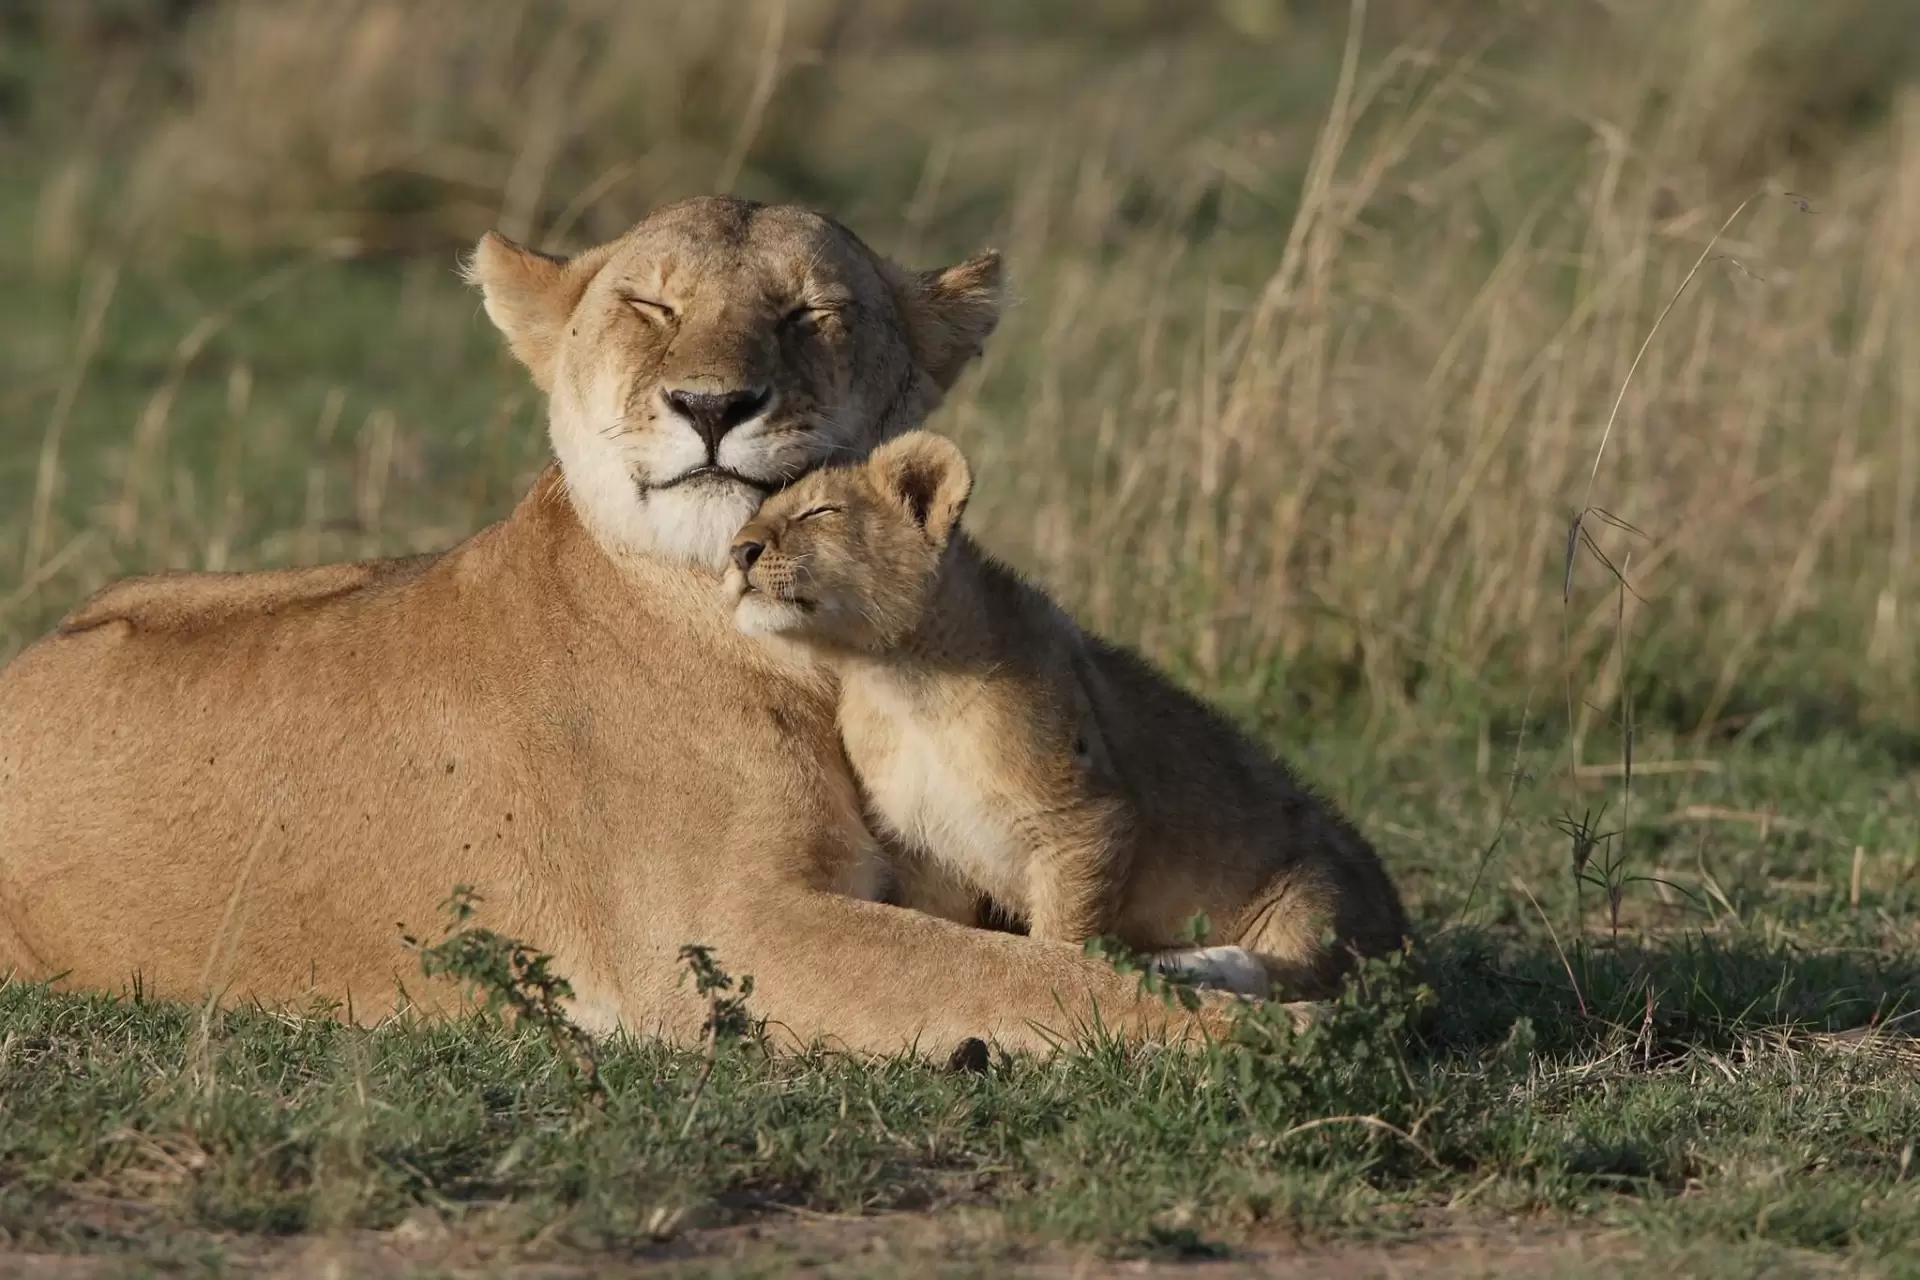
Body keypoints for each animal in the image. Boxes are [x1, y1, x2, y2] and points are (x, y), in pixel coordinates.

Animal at [0, 196, 1251, 1055]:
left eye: (810, 311)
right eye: (650, 306)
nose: (711, 403)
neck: (807, 652)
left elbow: (1046, 954)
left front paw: (1235, 967)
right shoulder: (726, 939)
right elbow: (1032, 980)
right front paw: (1273, 1044)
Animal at [722, 431, 1411, 999]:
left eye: (820, 512)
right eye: (756, 516)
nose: (738, 551)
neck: (901, 683)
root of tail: (1403, 929)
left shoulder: (1085, 822)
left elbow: (1062, 937)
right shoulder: (926, 849)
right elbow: (941, 930)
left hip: (1313, 896)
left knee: (1309, 979)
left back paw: (1182, 964)